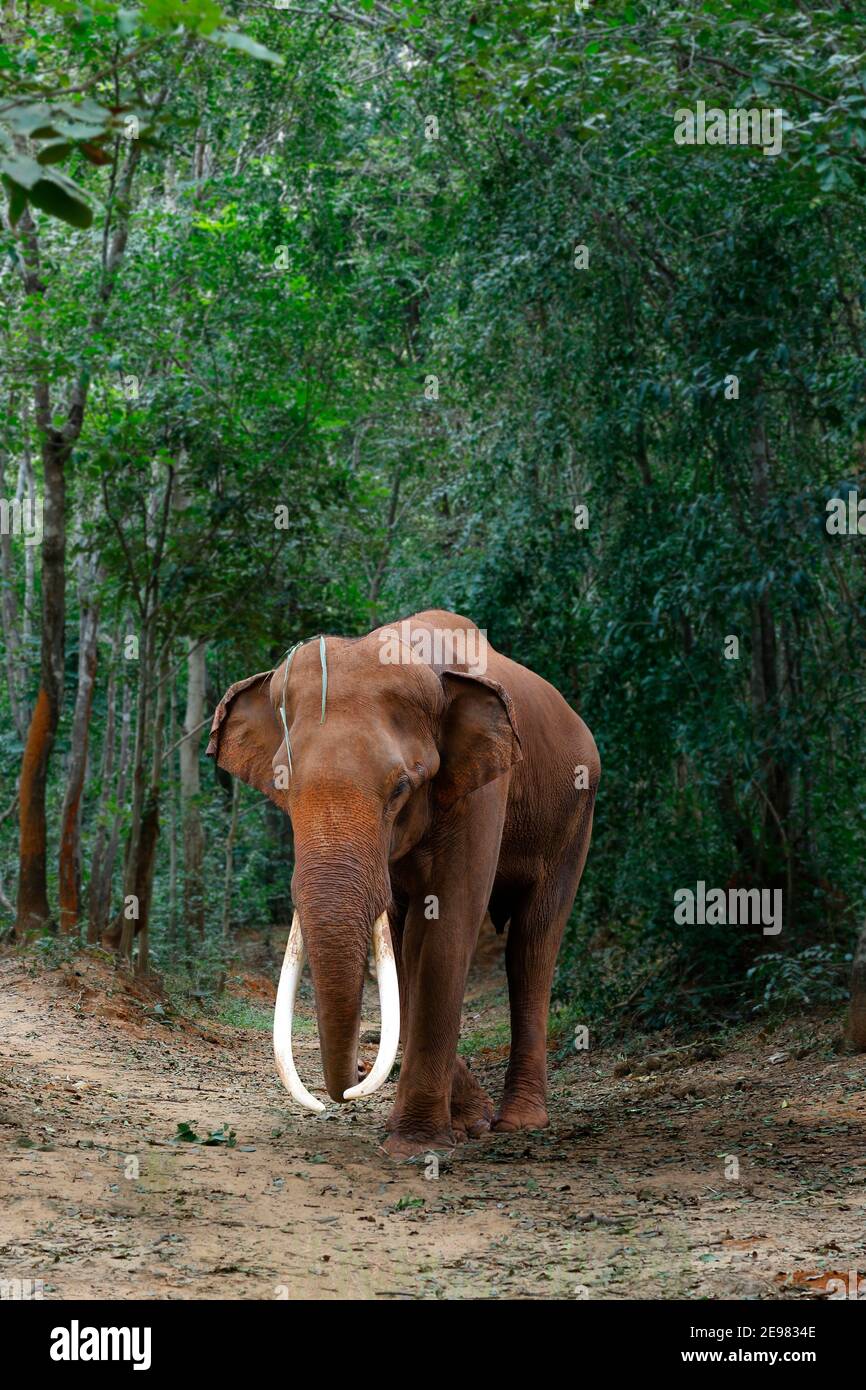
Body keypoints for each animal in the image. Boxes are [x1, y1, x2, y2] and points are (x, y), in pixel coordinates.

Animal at [208, 611, 603, 1162]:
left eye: (400, 788)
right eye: (281, 787)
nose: (350, 1080)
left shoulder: (482, 792)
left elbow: (446, 929)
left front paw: (415, 1143)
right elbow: (402, 944)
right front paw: (463, 1123)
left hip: (576, 815)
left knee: (533, 943)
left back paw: (520, 1122)